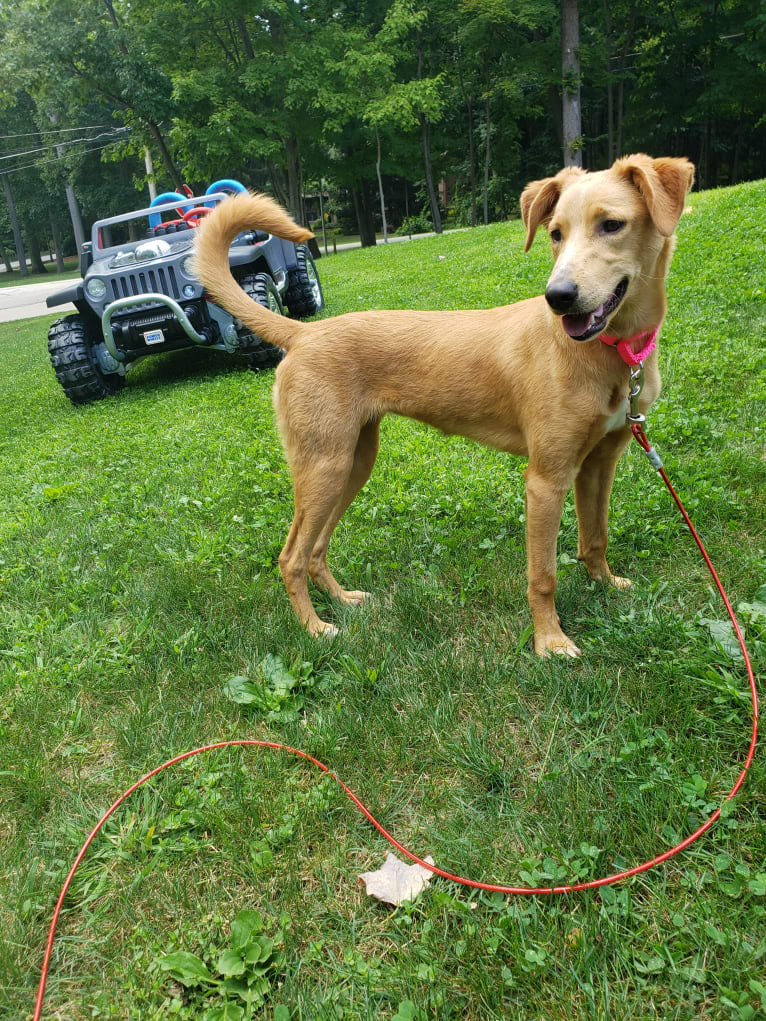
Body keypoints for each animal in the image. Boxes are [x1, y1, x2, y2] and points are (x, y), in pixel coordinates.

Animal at [193, 155, 694, 657]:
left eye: (612, 225)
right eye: (555, 233)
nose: (558, 298)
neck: (611, 352)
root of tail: (303, 331)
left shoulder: (599, 463)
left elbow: (596, 536)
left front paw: (605, 584)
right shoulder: (545, 479)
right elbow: (543, 574)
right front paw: (549, 641)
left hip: (353, 462)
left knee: (315, 549)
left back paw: (343, 599)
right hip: (324, 464)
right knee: (291, 556)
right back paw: (314, 627)